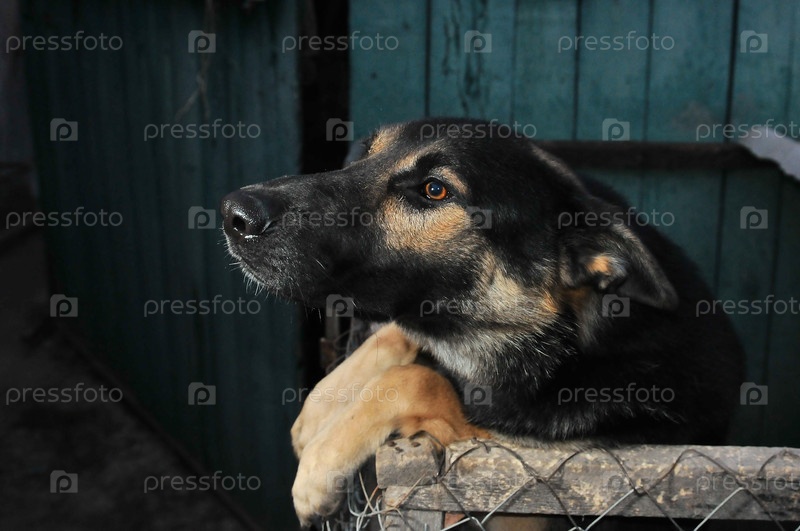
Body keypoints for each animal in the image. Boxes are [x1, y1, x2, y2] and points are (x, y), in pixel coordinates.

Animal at [220, 118, 744, 526]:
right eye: (365, 156)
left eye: (434, 190)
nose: (234, 214)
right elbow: (396, 335)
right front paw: (317, 413)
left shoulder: (529, 456)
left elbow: (418, 379)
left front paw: (316, 470)